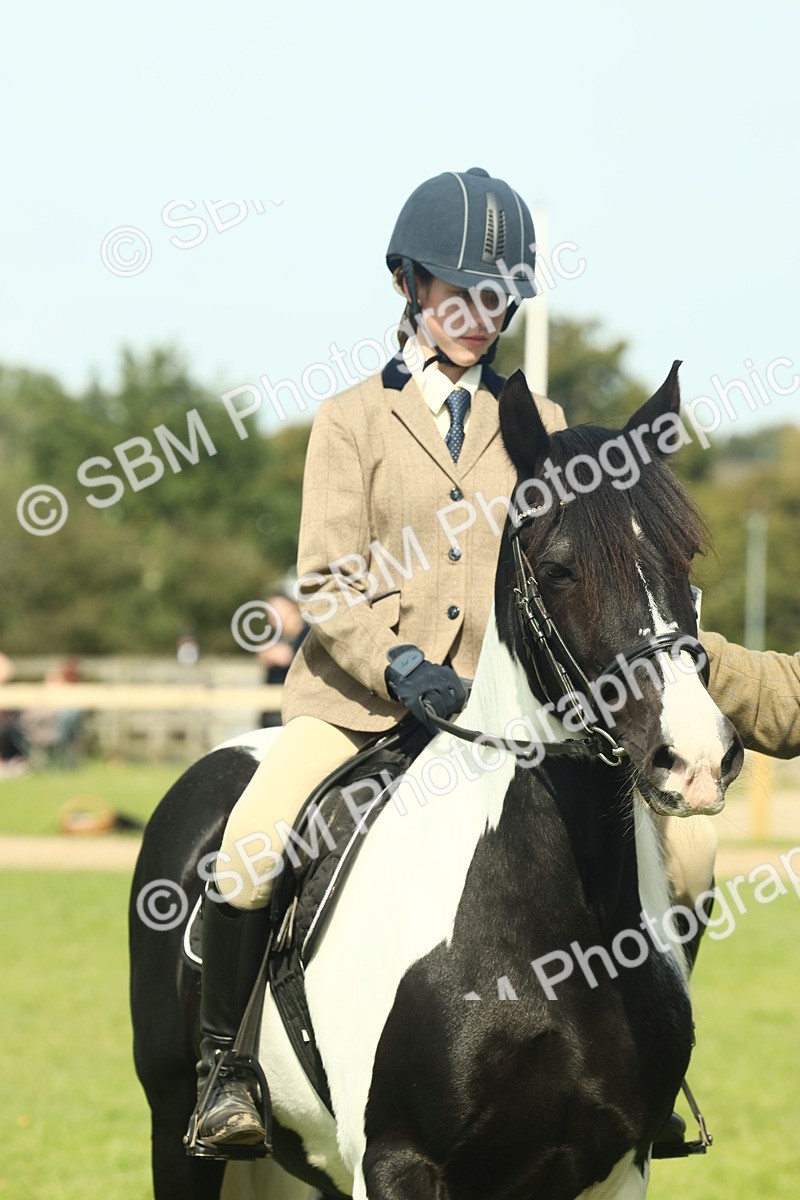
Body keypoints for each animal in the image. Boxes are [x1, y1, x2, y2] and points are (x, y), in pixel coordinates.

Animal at [130, 363, 743, 1200]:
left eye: (686, 561)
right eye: (559, 568)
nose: (696, 759)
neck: (553, 932)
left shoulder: (614, 1168)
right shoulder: (397, 1161)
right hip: (179, 1132)